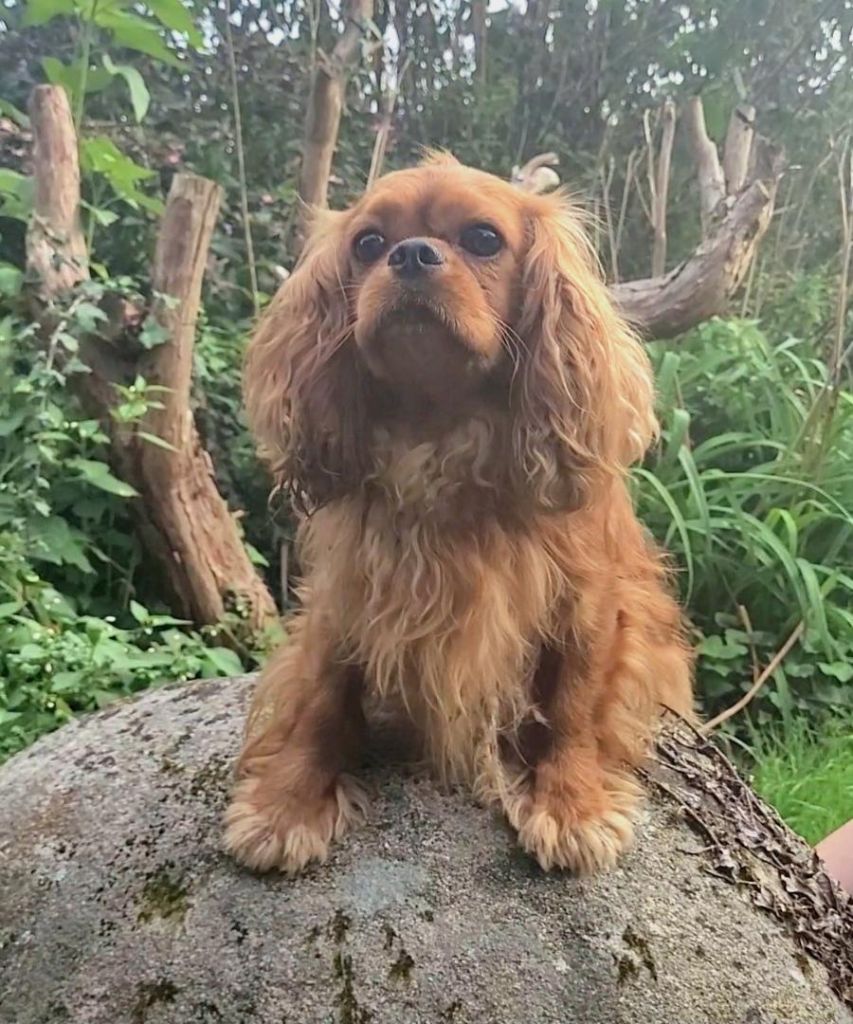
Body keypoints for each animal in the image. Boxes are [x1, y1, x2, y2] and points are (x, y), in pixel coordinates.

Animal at [221, 155, 692, 876]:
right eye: (367, 244)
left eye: (482, 239)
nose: (411, 254)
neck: (437, 429)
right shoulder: (346, 591)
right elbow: (322, 693)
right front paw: (289, 802)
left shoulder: (587, 601)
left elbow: (575, 702)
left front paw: (571, 805)